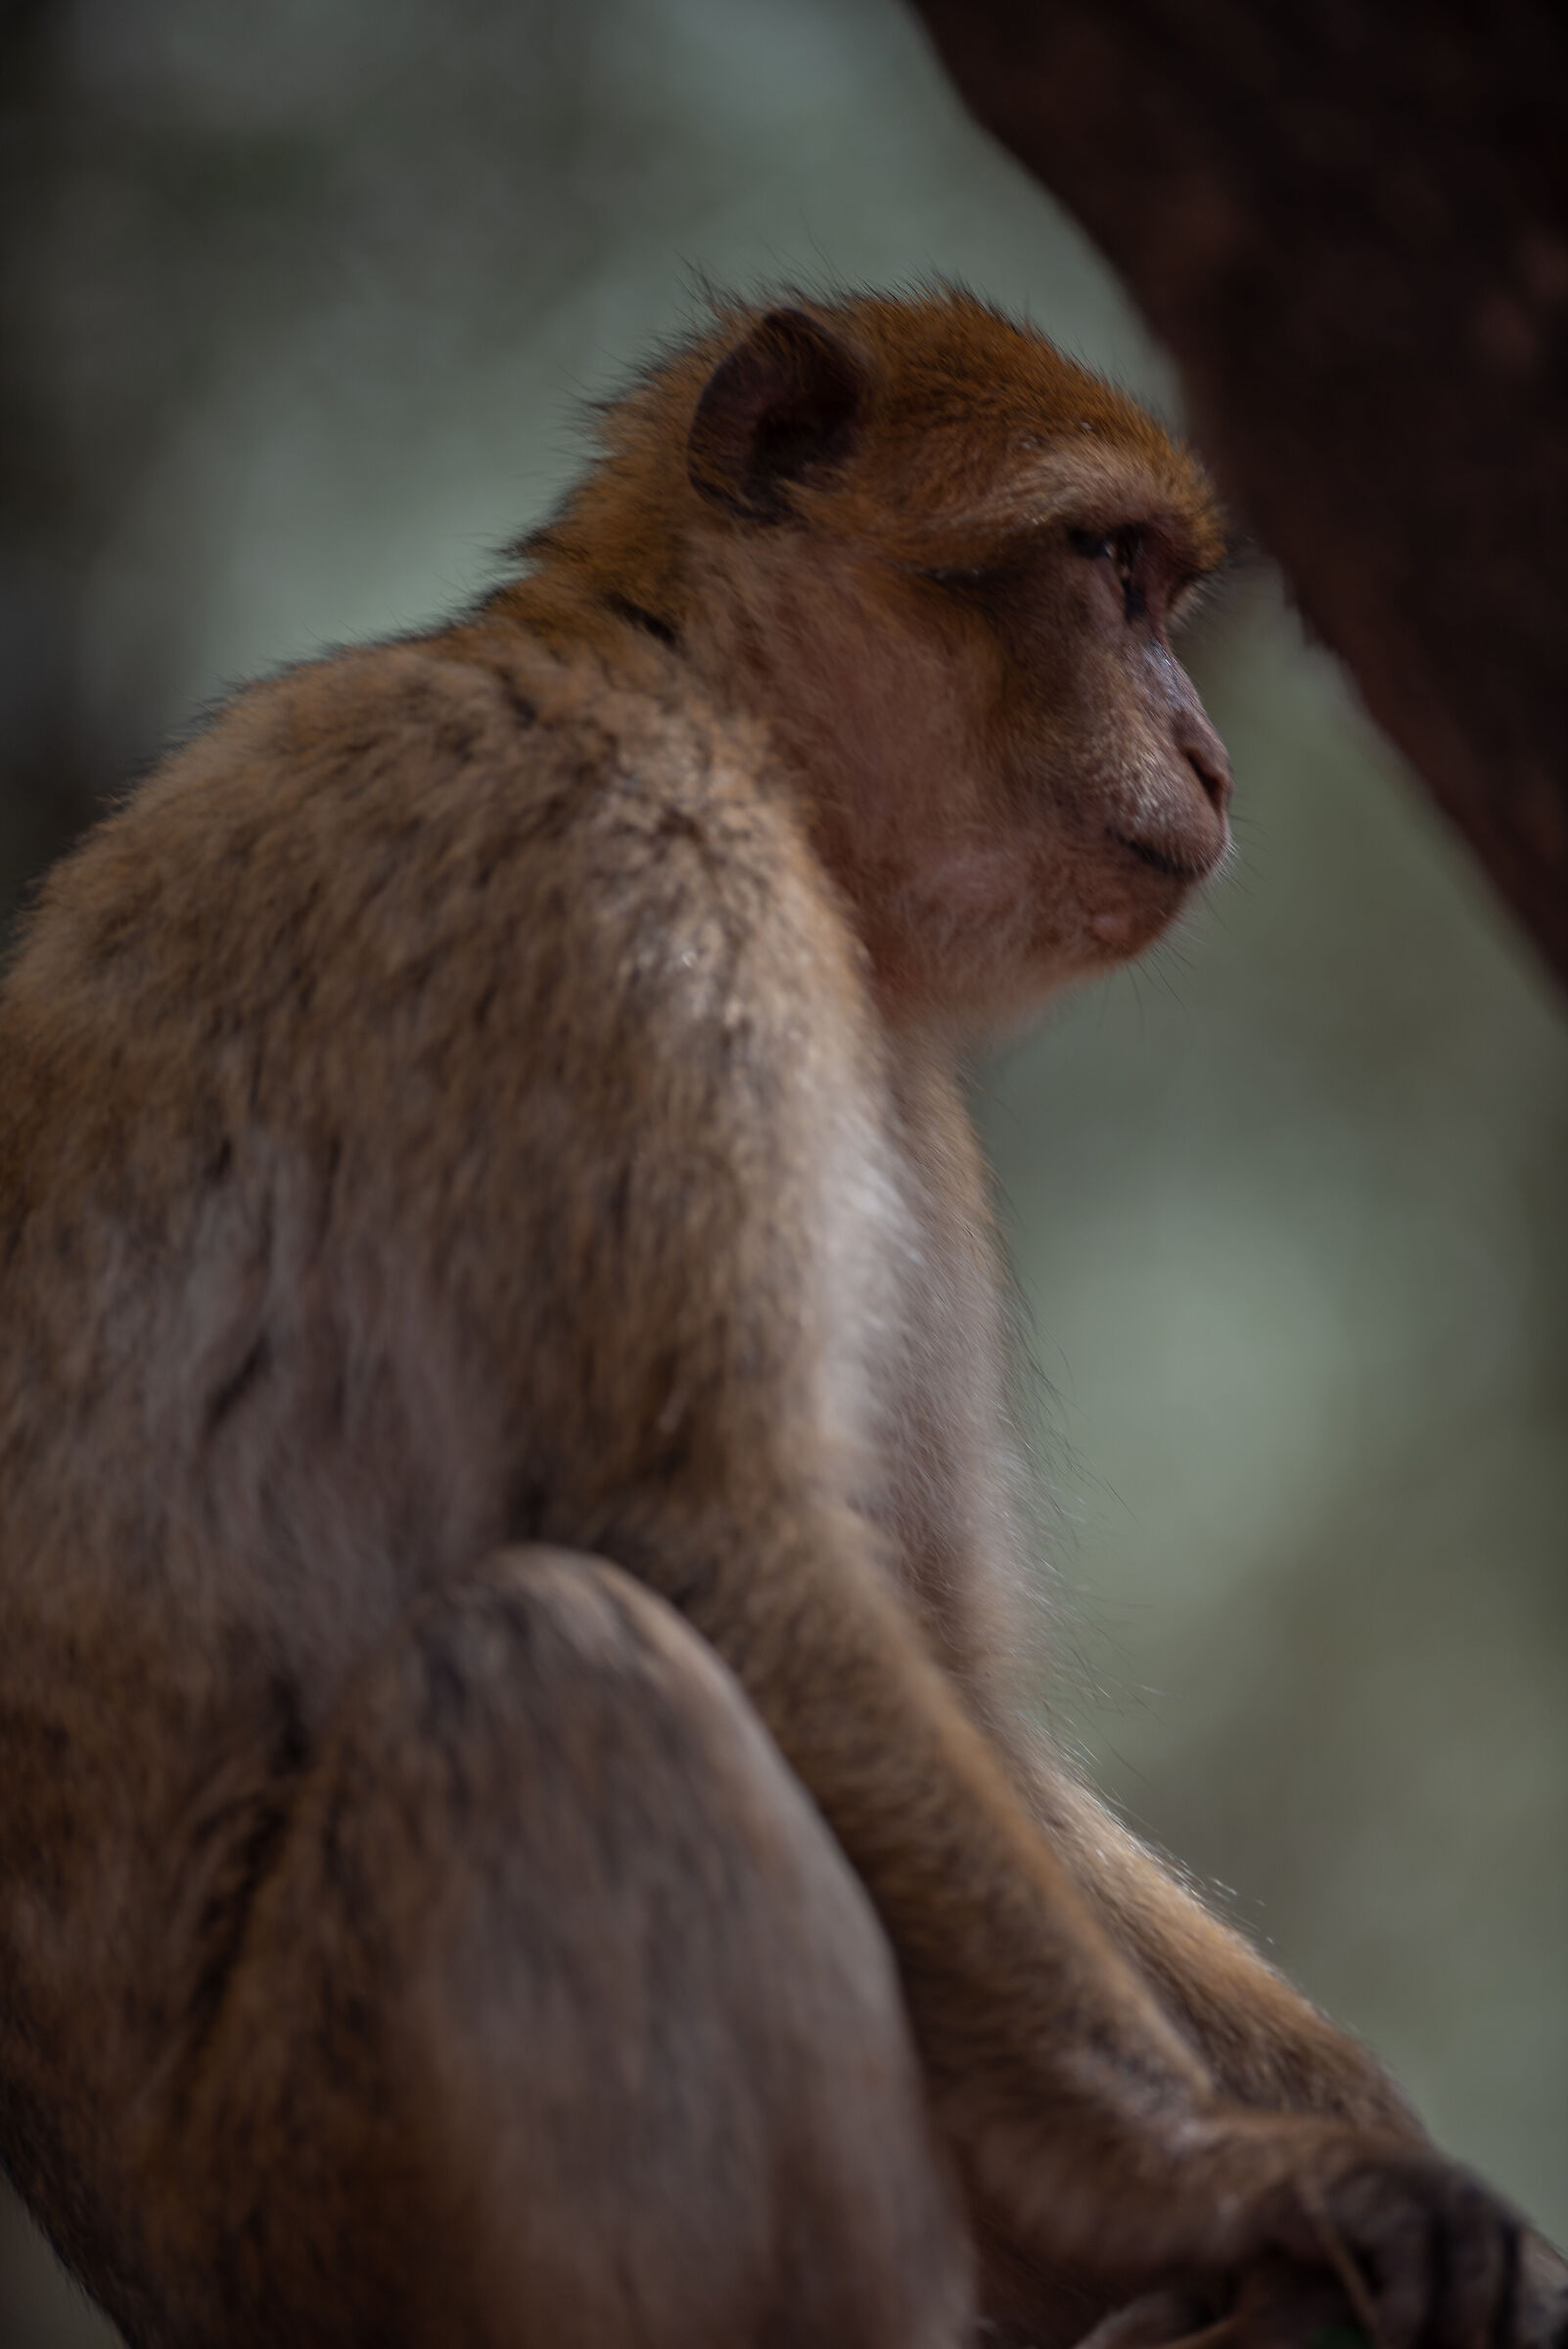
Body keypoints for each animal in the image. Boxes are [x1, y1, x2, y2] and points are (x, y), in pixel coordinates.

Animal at [0, 288, 1561, 2349]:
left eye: (1166, 591)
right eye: (1108, 573)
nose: (1210, 757)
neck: (695, 691)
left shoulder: (890, 1072)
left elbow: (941, 1665)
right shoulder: (616, 858)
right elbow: (712, 1536)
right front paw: (1214, 2177)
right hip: (311, 2206)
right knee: (545, 1667)